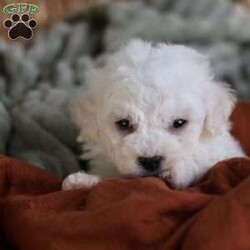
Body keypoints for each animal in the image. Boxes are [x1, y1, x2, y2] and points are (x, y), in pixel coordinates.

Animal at [62, 40, 244, 190]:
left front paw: (179, 171)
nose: (150, 161)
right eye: (124, 123)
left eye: (179, 122)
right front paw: (81, 181)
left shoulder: (225, 153)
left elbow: (209, 161)